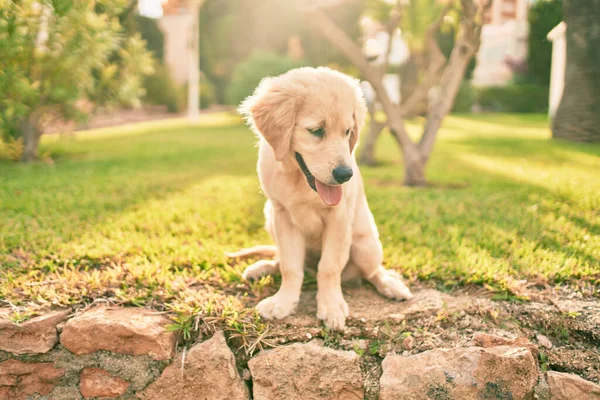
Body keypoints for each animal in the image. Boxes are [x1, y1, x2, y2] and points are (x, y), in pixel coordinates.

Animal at [233, 67, 412, 330]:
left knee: (372, 271)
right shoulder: (282, 215)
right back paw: (263, 267)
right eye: (316, 131)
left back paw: (391, 284)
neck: (299, 179)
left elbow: (329, 266)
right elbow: (290, 266)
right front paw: (283, 302)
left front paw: (331, 306)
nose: (345, 175)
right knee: (284, 259)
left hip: (366, 245)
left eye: (347, 132)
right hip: (269, 216)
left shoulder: (338, 217)